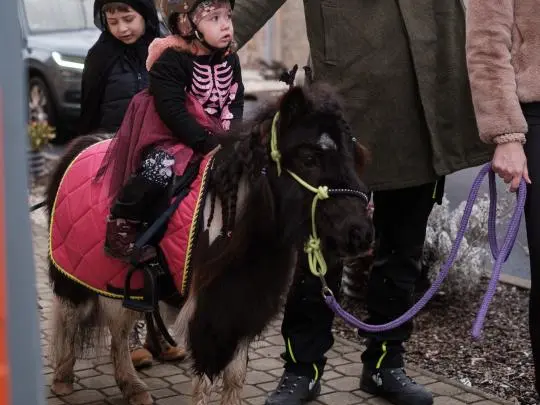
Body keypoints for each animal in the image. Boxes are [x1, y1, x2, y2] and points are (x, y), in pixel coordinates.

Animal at [45, 82, 374, 405]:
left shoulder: (244, 305)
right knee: (70, 315)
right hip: (75, 274)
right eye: (309, 158)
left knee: (119, 330)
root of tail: (82, 144)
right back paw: (63, 378)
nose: (361, 234)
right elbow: (204, 381)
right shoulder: (208, 311)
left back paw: (132, 387)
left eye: (354, 157)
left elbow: (235, 375)